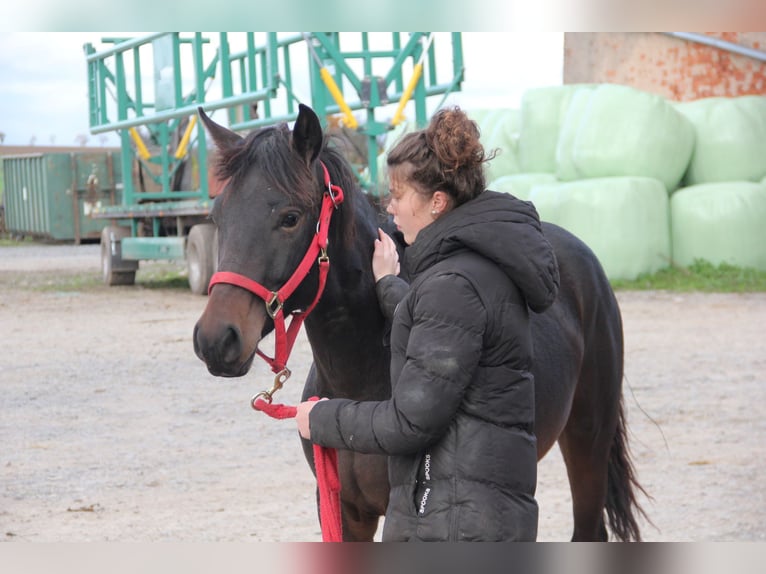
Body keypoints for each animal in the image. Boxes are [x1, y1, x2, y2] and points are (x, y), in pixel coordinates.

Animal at [192, 104, 648, 544]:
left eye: (290, 217)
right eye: (218, 216)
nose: (215, 339)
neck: (359, 384)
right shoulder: (344, 512)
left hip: (588, 443)